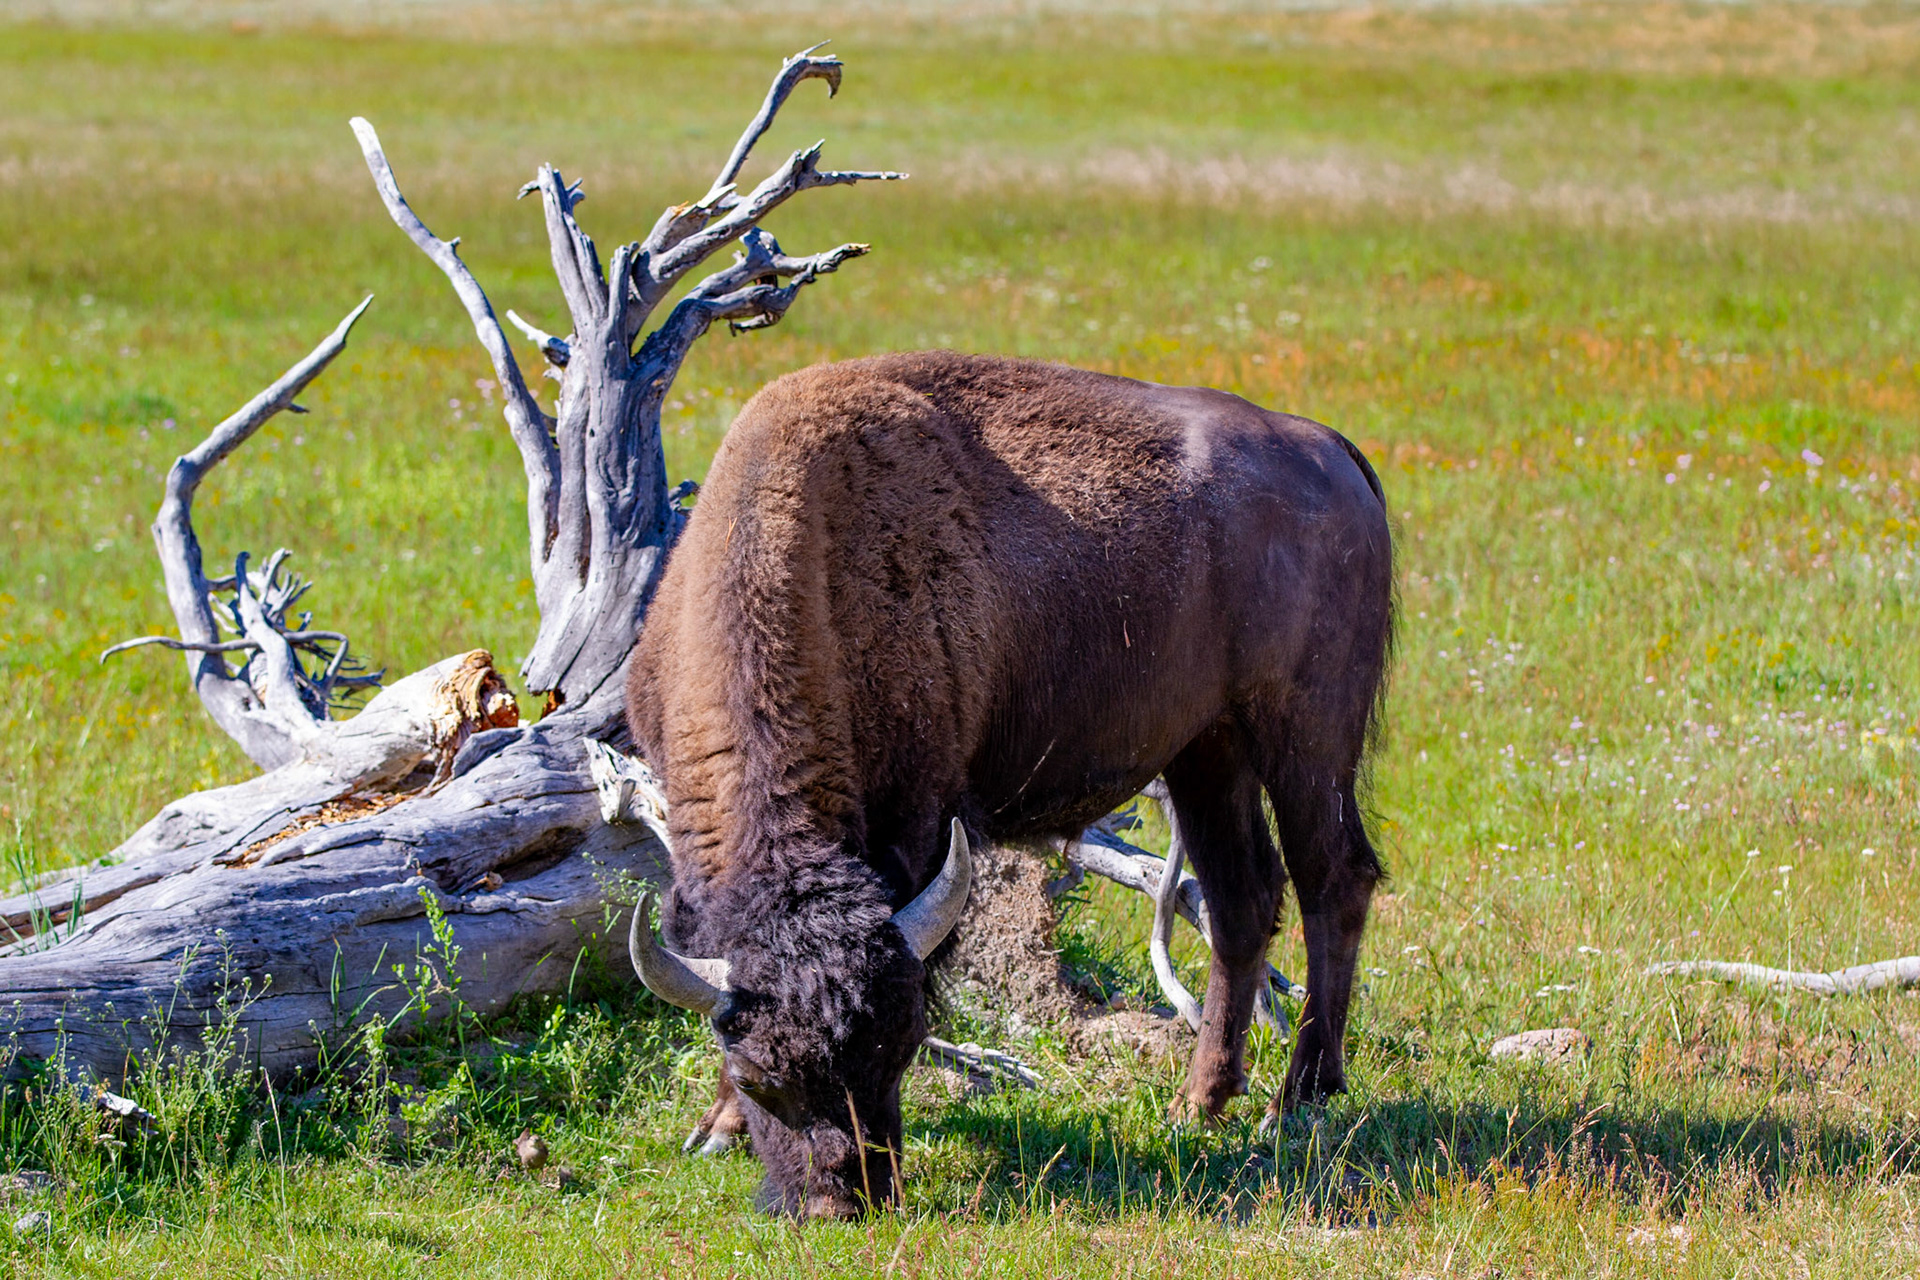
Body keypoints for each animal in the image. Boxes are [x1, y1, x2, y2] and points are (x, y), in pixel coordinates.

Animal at [625, 351, 1392, 1218]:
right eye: (762, 1078)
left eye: (900, 1046)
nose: (841, 1201)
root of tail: (1330, 450)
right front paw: (717, 1127)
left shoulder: (921, 824)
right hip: (1208, 748)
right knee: (1242, 901)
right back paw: (1197, 1104)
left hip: (1306, 735)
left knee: (1334, 879)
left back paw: (1295, 1101)